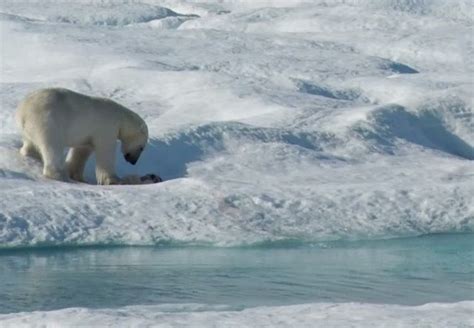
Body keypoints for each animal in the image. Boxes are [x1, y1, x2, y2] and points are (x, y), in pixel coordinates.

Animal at [16, 87, 148, 184]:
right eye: (142, 147)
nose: (133, 161)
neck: (121, 118)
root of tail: (23, 111)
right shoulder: (107, 128)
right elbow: (105, 151)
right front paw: (113, 180)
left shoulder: (87, 135)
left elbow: (81, 151)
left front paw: (77, 175)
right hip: (47, 121)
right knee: (52, 145)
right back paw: (58, 175)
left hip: (29, 129)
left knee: (30, 143)